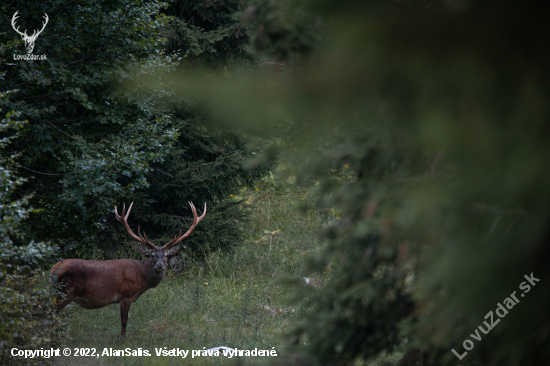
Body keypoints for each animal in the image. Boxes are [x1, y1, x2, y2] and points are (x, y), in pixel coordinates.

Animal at [50, 202, 206, 336]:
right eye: (152, 255)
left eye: (166, 255)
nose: (159, 265)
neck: (141, 276)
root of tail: (53, 269)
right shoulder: (125, 295)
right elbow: (124, 321)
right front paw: (123, 339)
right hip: (65, 293)